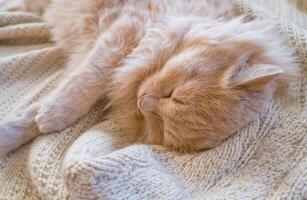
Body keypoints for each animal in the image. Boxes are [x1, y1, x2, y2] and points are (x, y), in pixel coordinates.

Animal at [0, 0, 298, 155]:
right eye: (174, 93)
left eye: (161, 125)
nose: (143, 101)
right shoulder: (122, 35)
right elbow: (88, 81)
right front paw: (54, 114)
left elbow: (32, 115)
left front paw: (19, 131)